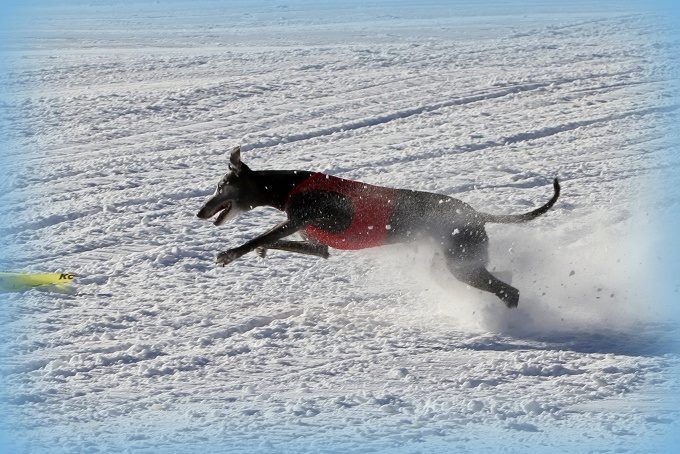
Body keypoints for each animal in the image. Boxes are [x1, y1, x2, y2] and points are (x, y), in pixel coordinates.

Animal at [197, 146, 556, 308]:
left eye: (219, 187)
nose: (199, 212)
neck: (286, 187)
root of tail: (476, 214)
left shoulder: (302, 218)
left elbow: (259, 236)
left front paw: (231, 253)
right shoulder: (316, 243)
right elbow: (280, 242)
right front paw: (261, 251)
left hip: (462, 263)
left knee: (509, 292)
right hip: (460, 260)